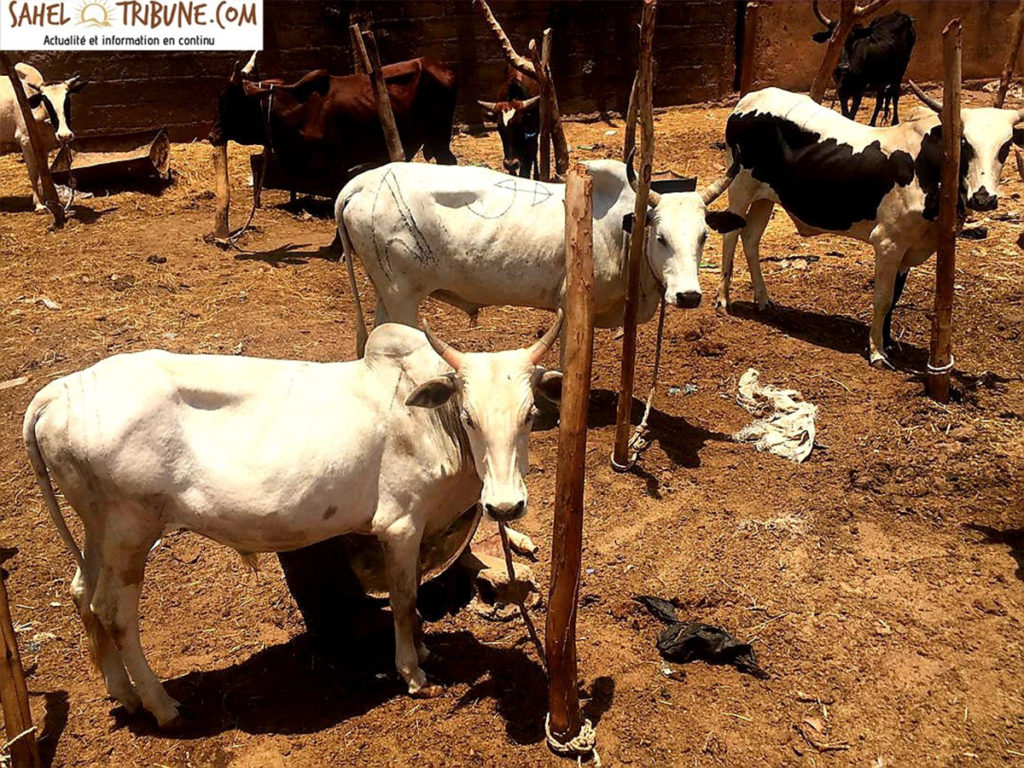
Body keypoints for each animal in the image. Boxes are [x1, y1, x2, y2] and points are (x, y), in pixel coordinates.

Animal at [0, 63, 87, 211]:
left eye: (67, 99)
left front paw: (50, 202)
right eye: (46, 100)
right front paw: (39, 205)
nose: (65, 135)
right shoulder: (25, 141)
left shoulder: (43, 145)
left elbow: (44, 172)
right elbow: (33, 173)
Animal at [24, 317, 565, 729]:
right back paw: (162, 706)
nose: (505, 506)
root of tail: (60, 391)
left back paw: (125, 694)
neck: (429, 421)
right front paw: (412, 672)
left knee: (82, 593)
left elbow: (411, 598)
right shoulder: (399, 525)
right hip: (129, 530)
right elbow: (404, 598)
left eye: (530, 415)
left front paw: (425, 651)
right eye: (469, 416)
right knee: (113, 611)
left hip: (99, 529)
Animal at [335, 154, 745, 358]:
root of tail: (361, 183)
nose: (688, 296)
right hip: (402, 295)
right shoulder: (574, 306)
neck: (622, 231)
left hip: (386, 292)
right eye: (660, 237)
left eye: (703, 236)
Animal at [716, 85, 1024, 368]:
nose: (983, 198)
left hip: (765, 197)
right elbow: (883, 298)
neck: (928, 169)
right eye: (965, 143)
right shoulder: (888, 243)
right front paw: (877, 352)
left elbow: (896, 297)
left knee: (751, 239)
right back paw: (723, 299)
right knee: (731, 236)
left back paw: (763, 299)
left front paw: (887, 342)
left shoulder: (908, 248)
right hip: (739, 188)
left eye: (1005, 147)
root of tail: (749, 98)